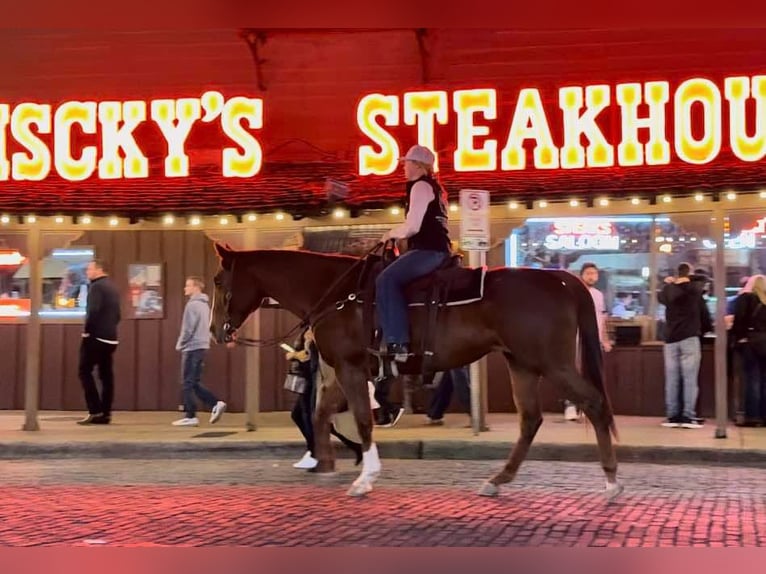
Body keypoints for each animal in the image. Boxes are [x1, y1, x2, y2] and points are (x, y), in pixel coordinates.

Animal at [210, 245, 624, 502]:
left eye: (217, 281)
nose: (216, 331)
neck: (336, 292)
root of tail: (562, 279)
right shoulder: (346, 369)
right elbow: (322, 412)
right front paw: (326, 462)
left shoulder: (349, 367)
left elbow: (361, 419)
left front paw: (364, 478)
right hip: (521, 363)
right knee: (531, 419)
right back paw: (497, 480)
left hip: (551, 362)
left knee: (594, 403)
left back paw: (611, 482)